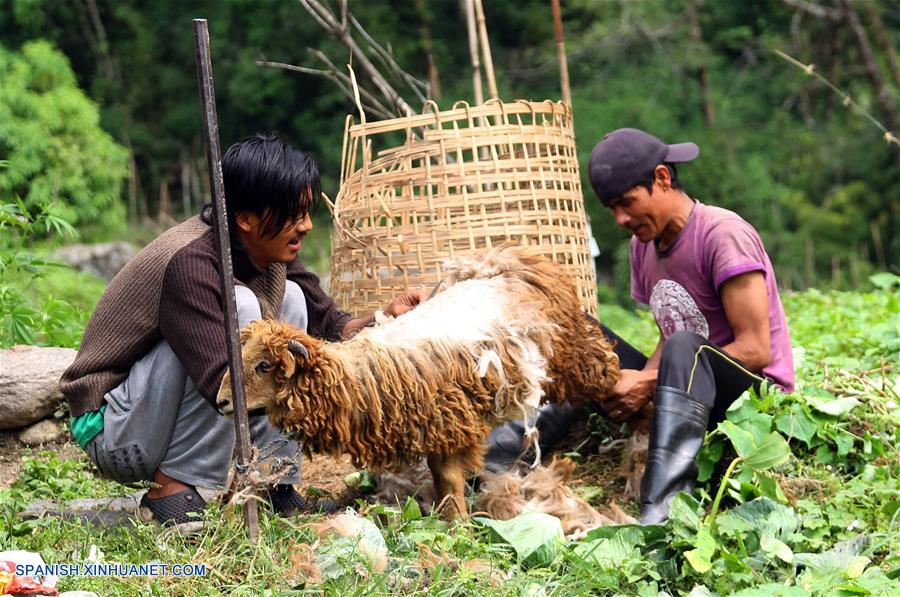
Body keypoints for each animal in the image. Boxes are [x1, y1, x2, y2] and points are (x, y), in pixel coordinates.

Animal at [218, 244, 620, 516]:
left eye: (264, 365)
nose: (222, 401)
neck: (359, 378)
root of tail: (508, 261)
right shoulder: (434, 431)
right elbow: (442, 480)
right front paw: (447, 519)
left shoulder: (450, 425)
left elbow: (450, 481)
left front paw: (458, 524)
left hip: (573, 353)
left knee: (607, 374)